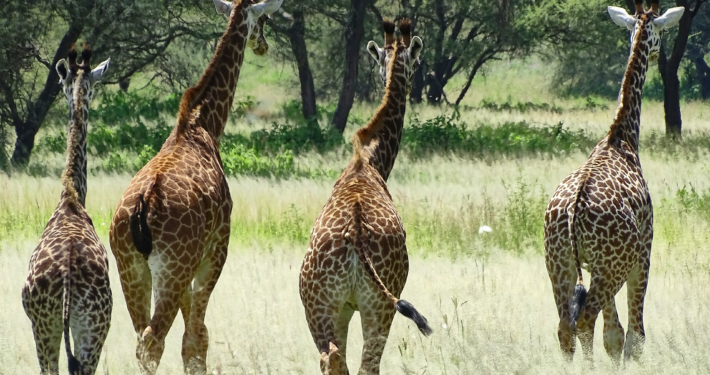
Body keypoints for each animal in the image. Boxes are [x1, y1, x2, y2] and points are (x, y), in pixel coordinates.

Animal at [108, 1, 284, 374]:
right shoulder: (217, 246)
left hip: (130, 267)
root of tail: (142, 209)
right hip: (171, 267)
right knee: (154, 339)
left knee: (141, 338)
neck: (202, 124)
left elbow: (195, 332)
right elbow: (197, 334)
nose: (263, 46)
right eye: (264, 19)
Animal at [298, 20, 432, 375]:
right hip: (378, 306)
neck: (368, 161)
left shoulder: (343, 306)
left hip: (319, 305)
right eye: (416, 61)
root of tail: (356, 236)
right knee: (367, 365)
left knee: (331, 358)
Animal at [544, 0, 684, 364]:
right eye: (661, 33)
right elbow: (634, 334)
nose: (655, 53)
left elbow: (614, 335)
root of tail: (570, 215)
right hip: (610, 268)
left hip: (559, 263)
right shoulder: (644, 250)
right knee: (584, 320)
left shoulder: (597, 263)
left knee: (565, 326)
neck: (621, 138)